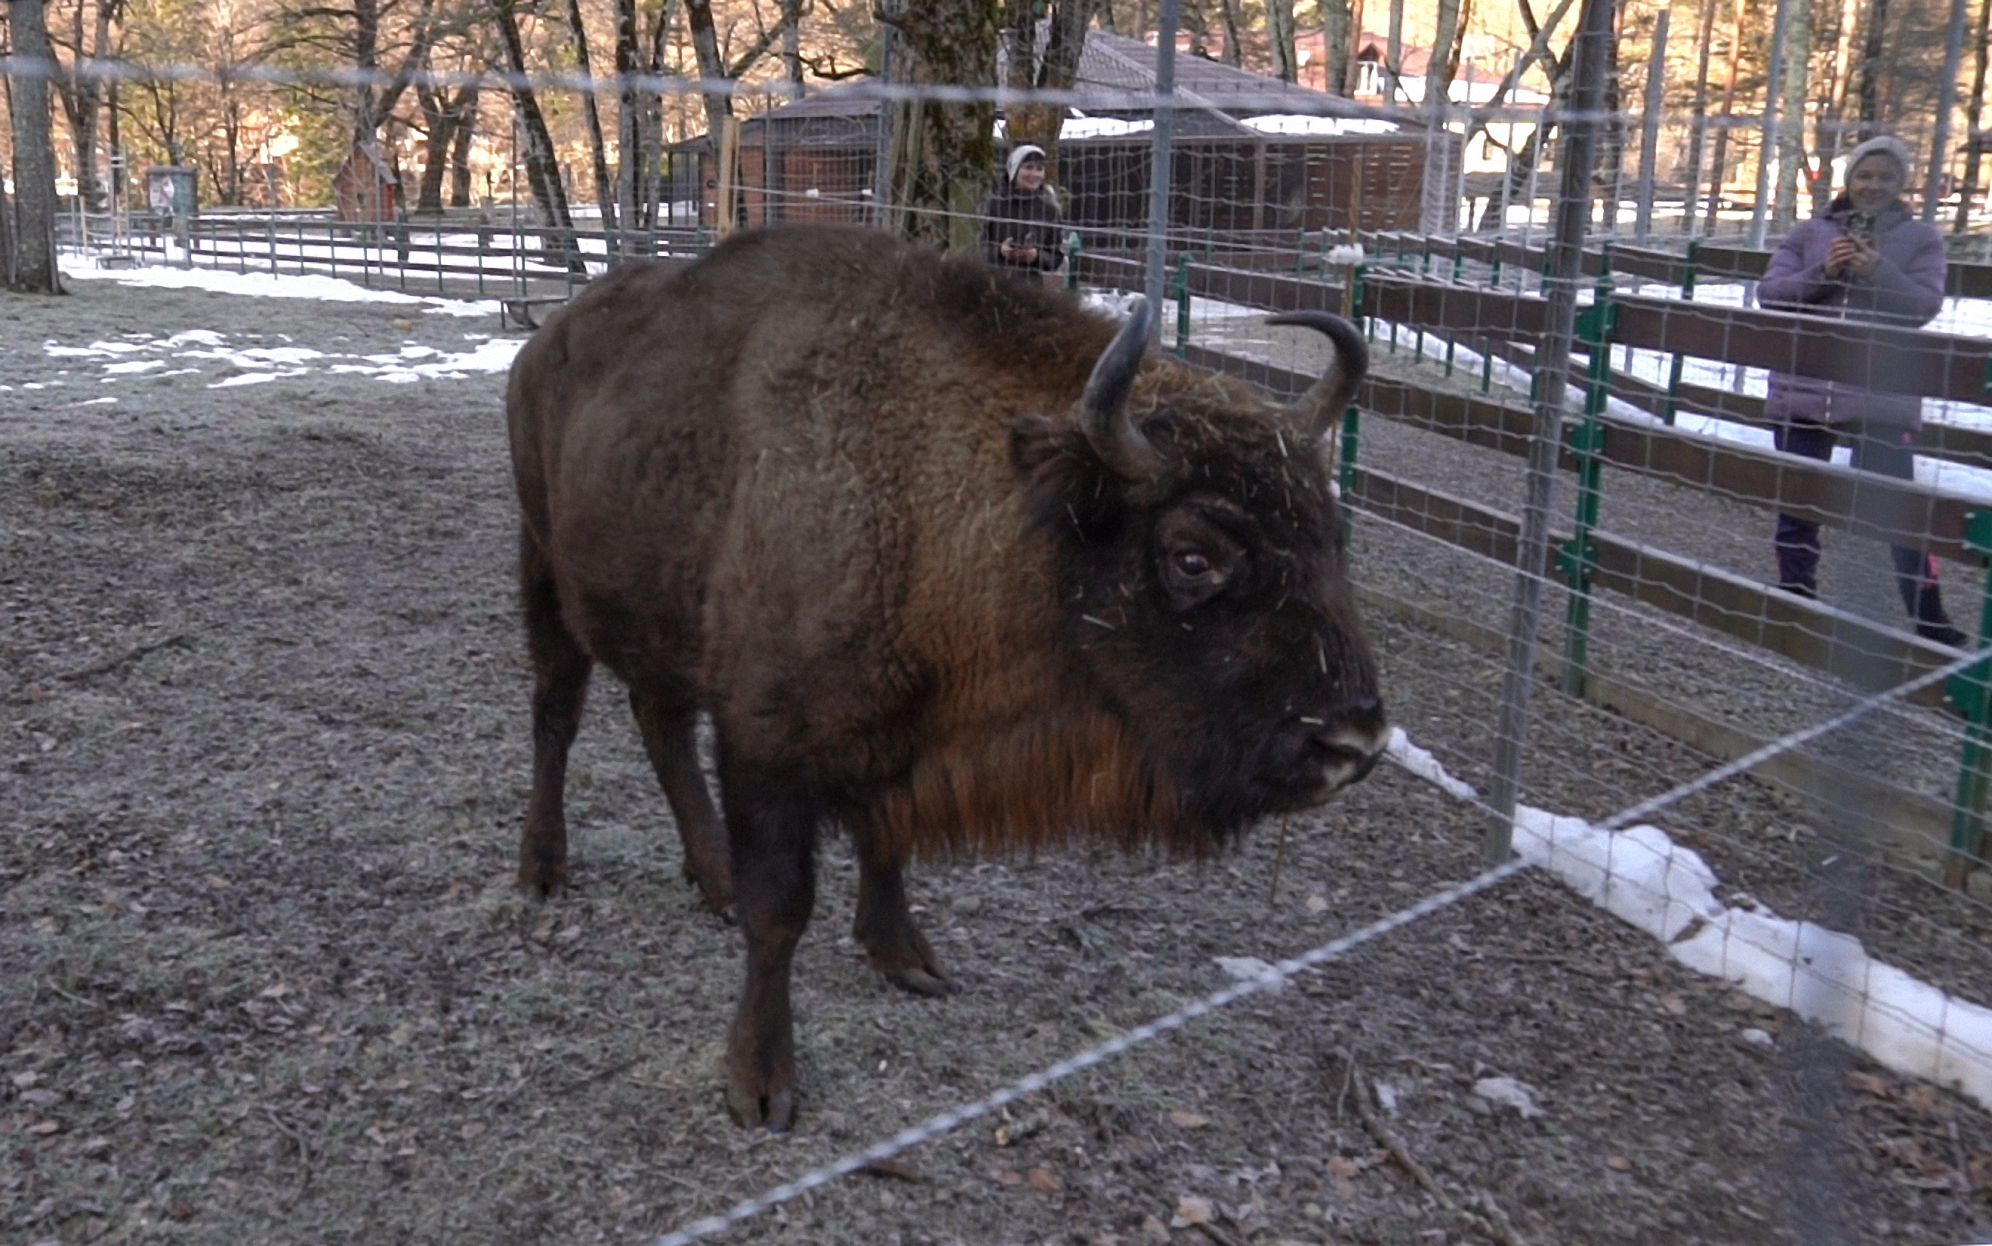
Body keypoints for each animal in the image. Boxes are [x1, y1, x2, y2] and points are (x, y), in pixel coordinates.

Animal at [509, 222, 1386, 1122]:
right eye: (1193, 556)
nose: (1353, 740)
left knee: (659, 726)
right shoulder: (765, 745)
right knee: (557, 715)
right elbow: (780, 909)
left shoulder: (900, 737)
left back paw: (708, 877)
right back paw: (543, 871)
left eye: (1331, 533)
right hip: (544, 571)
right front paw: (761, 1082)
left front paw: (906, 958)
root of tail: (544, 341)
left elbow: (886, 845)